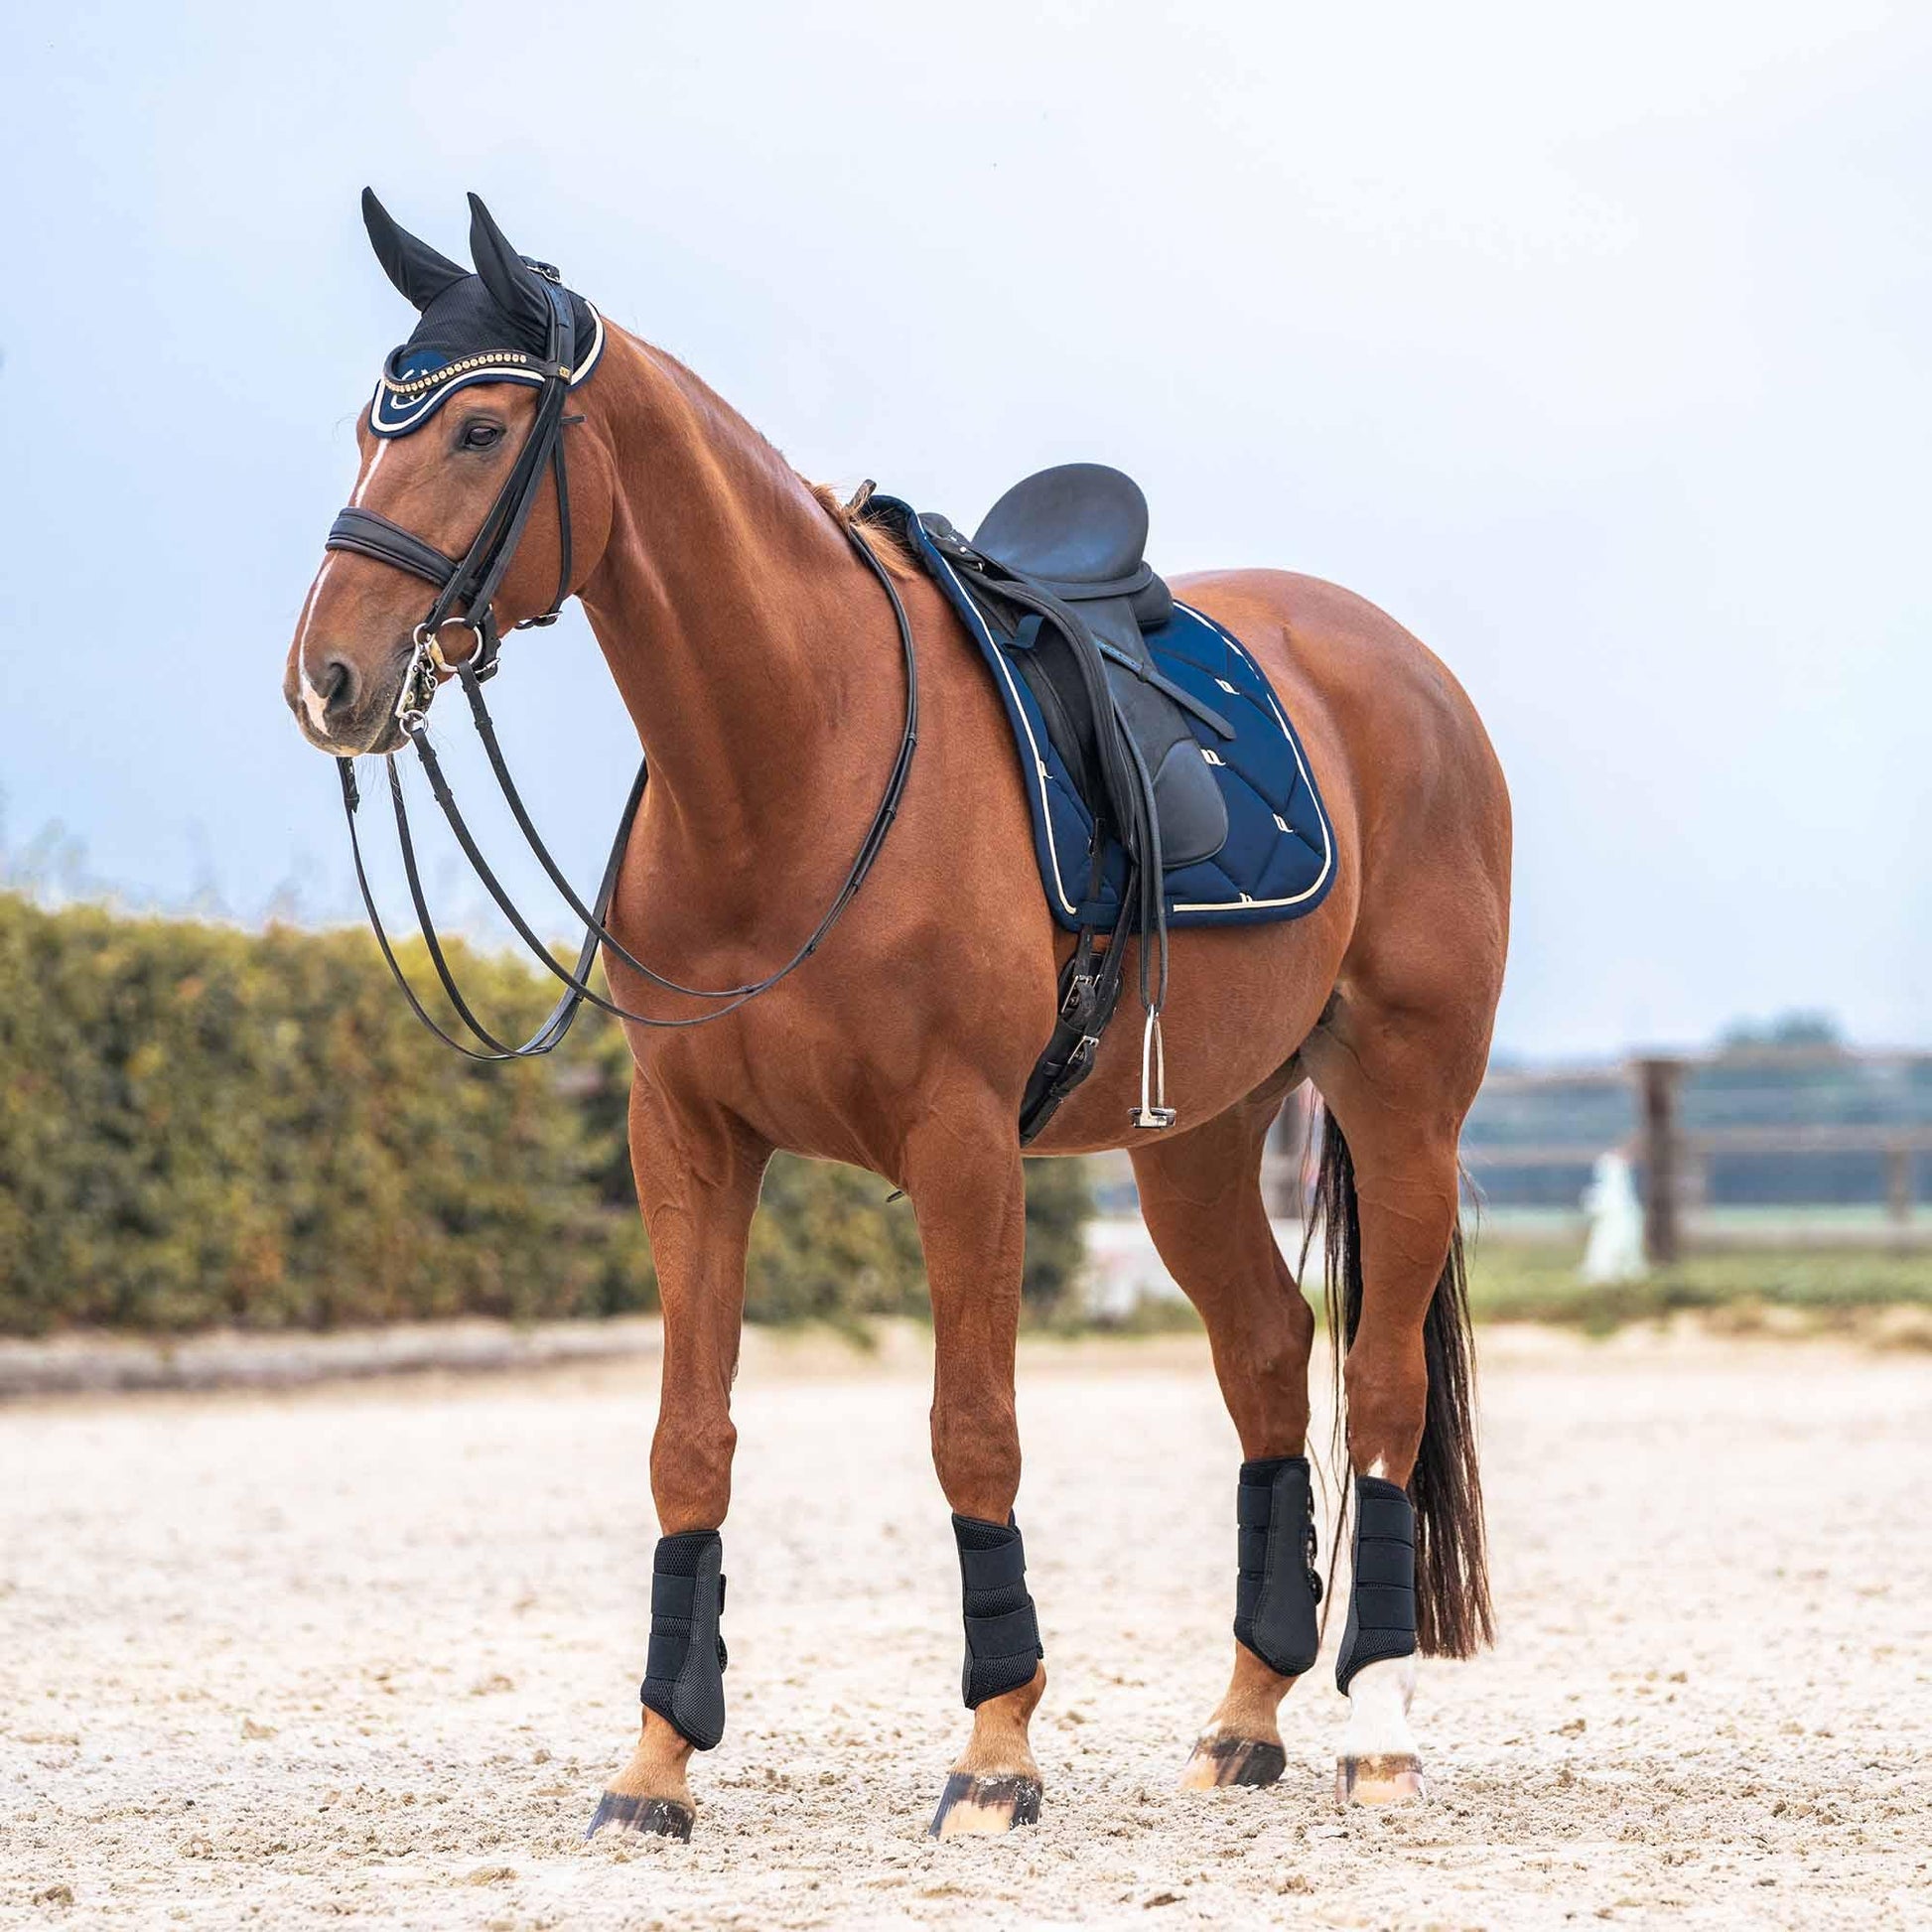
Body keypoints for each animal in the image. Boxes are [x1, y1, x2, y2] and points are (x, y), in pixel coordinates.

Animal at [282, 196, 1506, 1839]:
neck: (793, 757)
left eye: (479, 427)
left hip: (1399, 1102)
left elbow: (969, 1427)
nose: (331, 677)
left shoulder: (961, 1143)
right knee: (1263, 1356)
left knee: (1374, 1386)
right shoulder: (688, 1139)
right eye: (371, 426)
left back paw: (1374, 1726)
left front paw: (995, 1749)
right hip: (1196, 1137)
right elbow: (688, 1440)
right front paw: (655, 1763)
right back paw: (1245, 1716)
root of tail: (1401, 671)